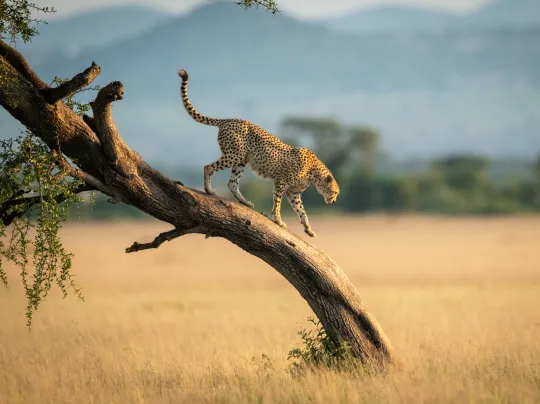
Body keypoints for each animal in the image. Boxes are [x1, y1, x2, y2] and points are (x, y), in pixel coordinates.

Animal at [178, 69, 338, 237]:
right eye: (334, 192)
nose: (333, 201)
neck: (314, 172)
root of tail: (228, 120)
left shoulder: (293, 192)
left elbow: (301, 210)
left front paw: (308, 228)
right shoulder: (281, 182)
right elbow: (278, 204)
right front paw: (278, 220)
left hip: (241, 160)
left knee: (232, 183)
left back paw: (245, 202)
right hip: (233, 155)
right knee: (208, 167)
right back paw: (209, 190)